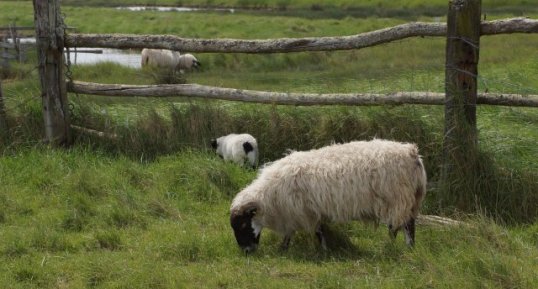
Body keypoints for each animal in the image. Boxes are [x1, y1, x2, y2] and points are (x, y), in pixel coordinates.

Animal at [228, 138, 426, 252]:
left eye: (243, 224)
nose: (246, 251)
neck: (270, 196)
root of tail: (412, 152)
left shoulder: (301, 211)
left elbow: (314, 231)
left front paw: (321, 251)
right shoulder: (306, 211)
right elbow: (313, 230)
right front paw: (285, 248)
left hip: (398, 198)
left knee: (404, 226)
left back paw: (401, 247)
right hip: (408, 200)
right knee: (400, 225)